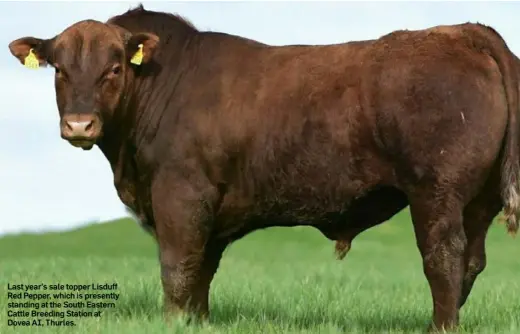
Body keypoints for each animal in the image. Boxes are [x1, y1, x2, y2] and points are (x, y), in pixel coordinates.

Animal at [8, 4, 520, 332]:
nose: (79, 123)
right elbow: (201, 271)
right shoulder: (210, 209)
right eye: (59, 70)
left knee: (444, 258)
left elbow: (177, 267)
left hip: (436, 191)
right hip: (479, 199)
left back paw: (440, 327)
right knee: (472, 260)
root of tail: (462, 30)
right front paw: (196, 323)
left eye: (114, 68)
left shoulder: (181, 193)